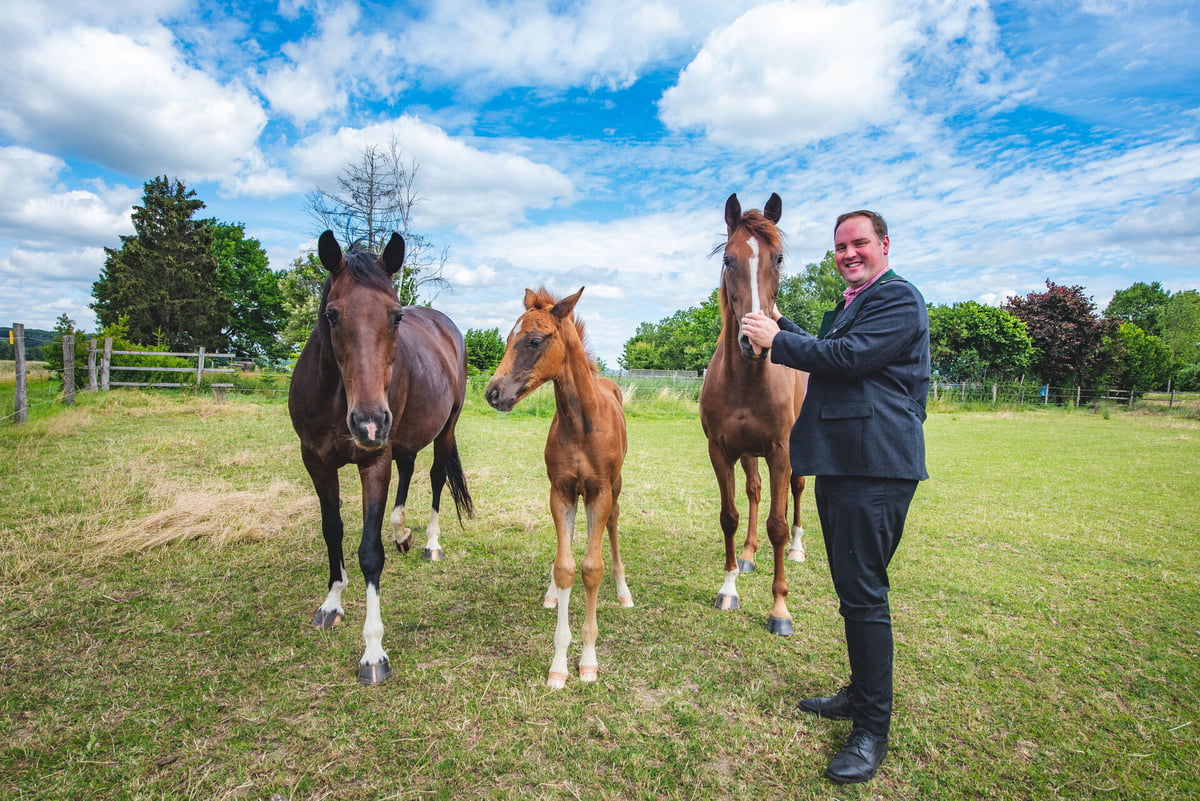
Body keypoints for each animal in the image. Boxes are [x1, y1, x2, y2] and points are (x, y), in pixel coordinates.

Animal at [290, 227, 472, 685]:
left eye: (395, 316)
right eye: (332, 315)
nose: (369, 422)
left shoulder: (373, 462)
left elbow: (370, 553)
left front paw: (373, 652)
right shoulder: (315, 461)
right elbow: (332, 530)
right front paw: (332, 602)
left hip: (443, 430)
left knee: (436, 478)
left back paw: (429, 543)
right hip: (401, 437)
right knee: (407, 469)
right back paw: (401, 531)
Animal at [482, 287, 633, 690]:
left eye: (535, 340)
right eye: (507, 339)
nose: (492, 393)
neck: (581, 425)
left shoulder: (599, 493)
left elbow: (591, 568)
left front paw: (588, 662)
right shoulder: (561, 492)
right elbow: (566, 567)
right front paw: (559, 665)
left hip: (615, 489)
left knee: (613, 526)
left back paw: (624, 591)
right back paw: (551, 593)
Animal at [700, 195, 811, 637]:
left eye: (777, 258)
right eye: (728, 259)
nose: (755, 341)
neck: (746, 381)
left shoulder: (781, 451)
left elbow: (776, 524)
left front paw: (780, 609)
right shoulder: (721, 451)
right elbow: (729, 516)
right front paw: (729, 587)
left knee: (796, 491)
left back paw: (797, 549)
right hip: (748, 453)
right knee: (754, 491)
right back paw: (748, 555)